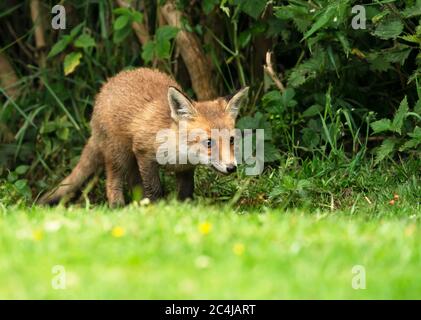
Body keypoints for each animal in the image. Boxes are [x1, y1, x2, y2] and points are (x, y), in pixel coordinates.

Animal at [39, 68, 248, 208]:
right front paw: (157, 211)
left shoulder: (185, 169)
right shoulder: (145, 155)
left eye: (231, 140)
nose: (232, 168)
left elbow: (186, 193)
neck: (178, 152)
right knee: (112, 182)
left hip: (130, 160)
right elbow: (154, 189)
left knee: (134, 184)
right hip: (119, 155)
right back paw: (118, 207)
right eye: (208, 142)